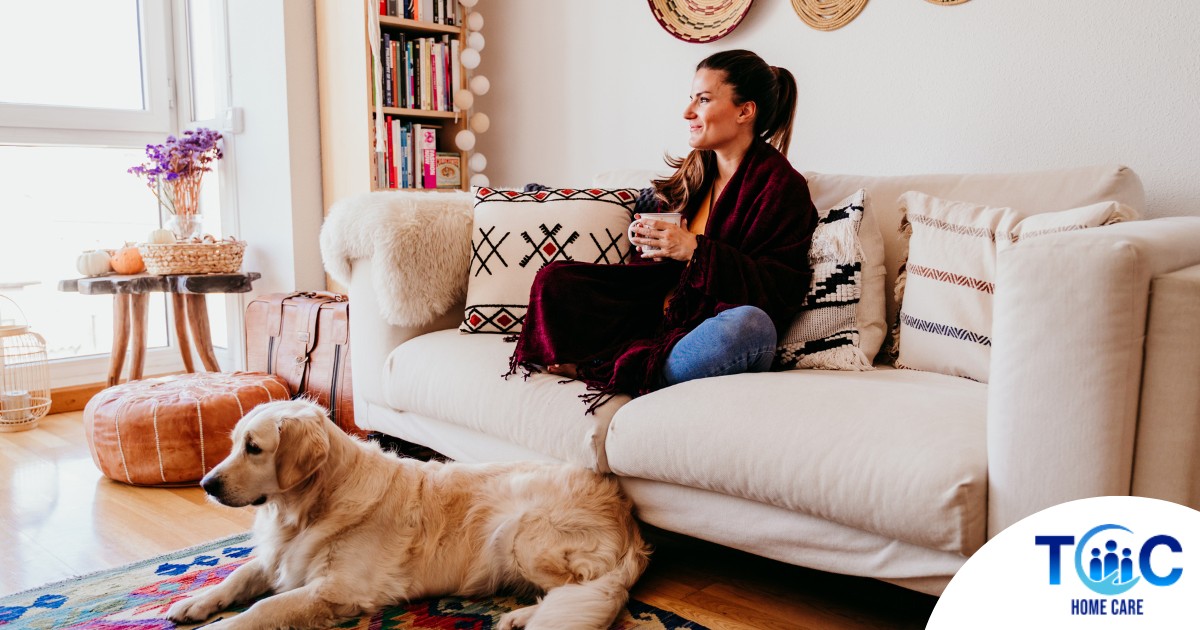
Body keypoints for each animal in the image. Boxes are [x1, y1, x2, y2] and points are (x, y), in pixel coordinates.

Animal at [169, 400, 648, 624]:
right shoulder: (280, 558)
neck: (311, 507)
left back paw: (521, 617)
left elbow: (262, 610)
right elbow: (237, 575)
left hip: (519, 533)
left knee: (584, 591)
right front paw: (194, 603)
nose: (206, 485)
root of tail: (625, 513)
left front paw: (218, 627)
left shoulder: (339, 589)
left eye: (254, 448)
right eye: (235, 443)